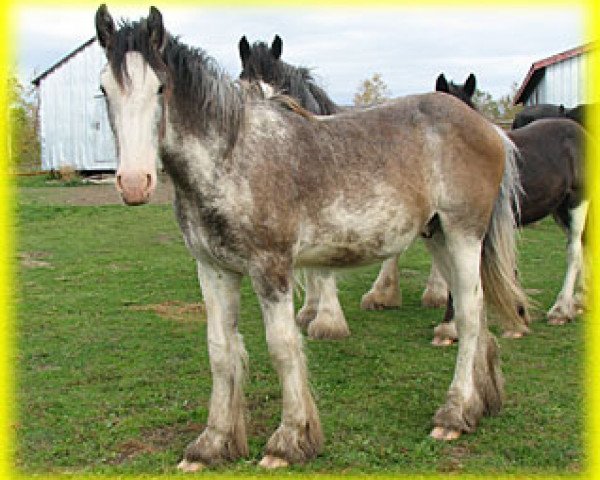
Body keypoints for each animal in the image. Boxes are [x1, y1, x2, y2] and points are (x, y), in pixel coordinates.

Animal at [97, 3, 528, 468]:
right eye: (104, 90)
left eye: (160, 88)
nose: (134, 183)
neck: (230, 158)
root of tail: (489, 128)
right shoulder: (213, 270)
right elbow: (220, 350)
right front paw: (211, 444)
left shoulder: (271, 268)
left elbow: (283, 347)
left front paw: (288, 441)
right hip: (439, 237)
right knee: (475, 312)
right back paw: (478, 406)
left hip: (464, 236)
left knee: (468, 314)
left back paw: (452, 414)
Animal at [426, 73, 592, 344]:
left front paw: (450, 327)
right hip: (559, 210)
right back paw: (581, 301)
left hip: (577, 202)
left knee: (574, 251)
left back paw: (560, 310)